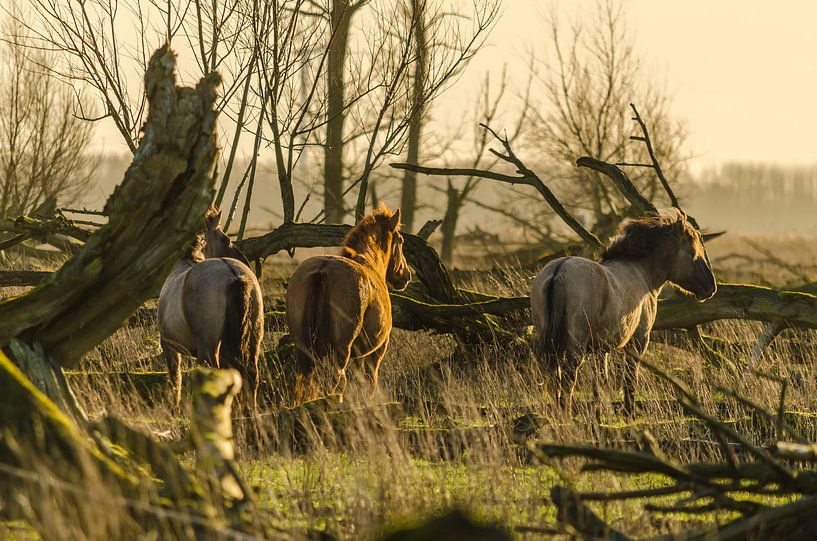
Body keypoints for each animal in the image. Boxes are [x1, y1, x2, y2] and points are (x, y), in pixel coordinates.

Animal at [158, 209, 264, 410]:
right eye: (225, 239)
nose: (245, 259)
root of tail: (234, 275)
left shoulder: (169, 347)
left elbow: (175, 382)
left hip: (208, 348)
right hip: (253, 340)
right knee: (251, 376)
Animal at [286, 205, 411, 403]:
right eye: (400, 240)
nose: (406, 276)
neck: (370, 262)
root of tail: (323, 269)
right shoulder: (376, 352)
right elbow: (370, 382)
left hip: (302, 347)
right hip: (341, 350)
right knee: (337, 380)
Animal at [530, 209, 717, 414]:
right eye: (692, 252)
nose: (711, 287)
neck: (640, 270)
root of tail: (559, 271)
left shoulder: (599, 350)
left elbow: (600, 383)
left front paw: (600, 415)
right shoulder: (638, 341)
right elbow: (629, 379)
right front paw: (628, 413)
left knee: (555, 378)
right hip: (575, 348)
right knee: (568, 381)